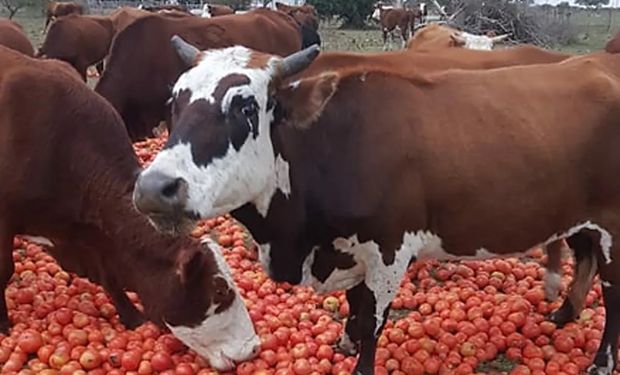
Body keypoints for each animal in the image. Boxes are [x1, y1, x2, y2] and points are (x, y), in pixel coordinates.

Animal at [0, 46, 260, 374]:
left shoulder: (94, 233)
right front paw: (2, 324)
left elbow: (108, 274)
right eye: (219, 291)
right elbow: (3, 269)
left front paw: (131, 315)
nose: (253, 347)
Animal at [133, 36, 620, 375]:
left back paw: (601, 360)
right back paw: (564, 312)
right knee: (584, 258)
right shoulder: (350, 250)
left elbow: (372, 322)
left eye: (246, 107)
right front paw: (345, 340)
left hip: (613, 226)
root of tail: (599, 62)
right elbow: (353, 303)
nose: (155, 188)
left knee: (612, 290)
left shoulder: (390, 248)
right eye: (174, 101)